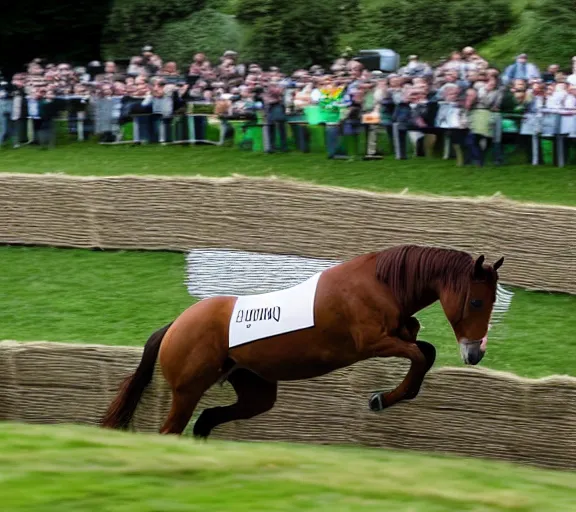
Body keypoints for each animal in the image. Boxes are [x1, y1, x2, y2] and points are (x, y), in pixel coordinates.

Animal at [102, 246, 504, 438]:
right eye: (476, 302)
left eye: (493, 301)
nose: (475, 353)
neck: (381, 285)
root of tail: (175, 325)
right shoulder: (374, 343)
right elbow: (419, 357)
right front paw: (381, 399)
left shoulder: (401, 335)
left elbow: (426, 351)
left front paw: (394, 396)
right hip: (187, 391)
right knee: (172, 430)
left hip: (256, 391)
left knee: (206, 421)